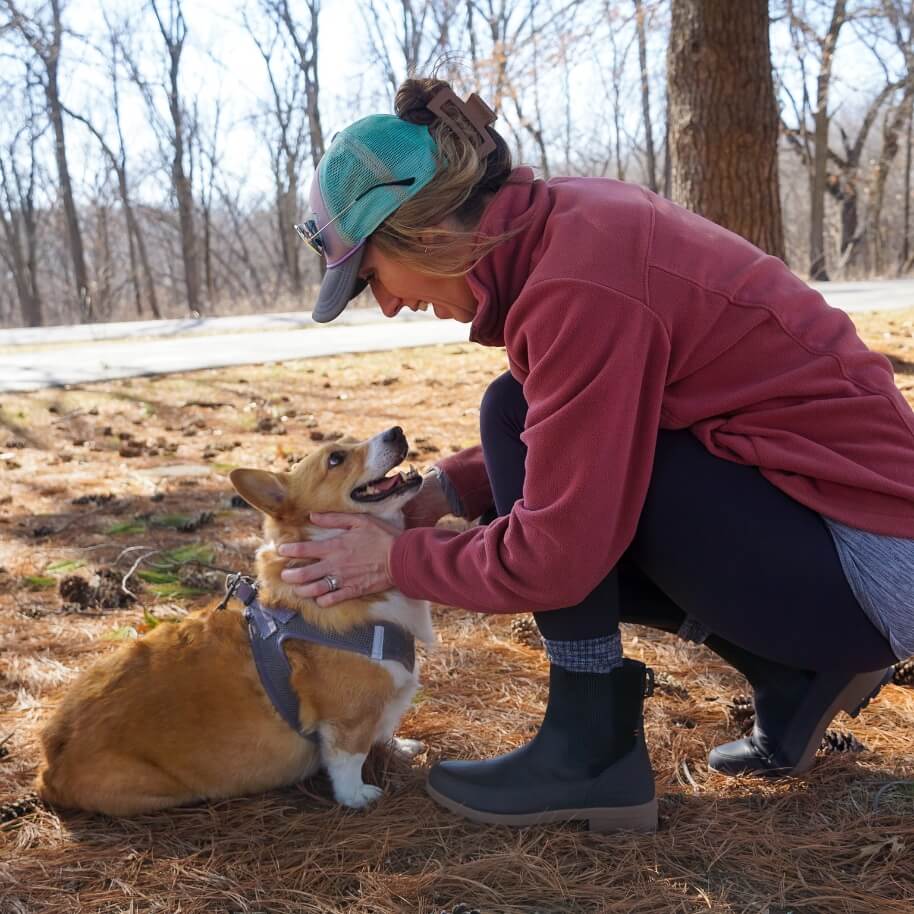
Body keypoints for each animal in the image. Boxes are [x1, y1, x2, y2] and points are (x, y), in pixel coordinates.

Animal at [35, 426, 434, 812]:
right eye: (335, 458)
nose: (397, 431)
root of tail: (50, 765)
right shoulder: (345, 720)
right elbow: (349, 760)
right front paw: (358, 796)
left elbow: (383, 731)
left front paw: (401, 747)